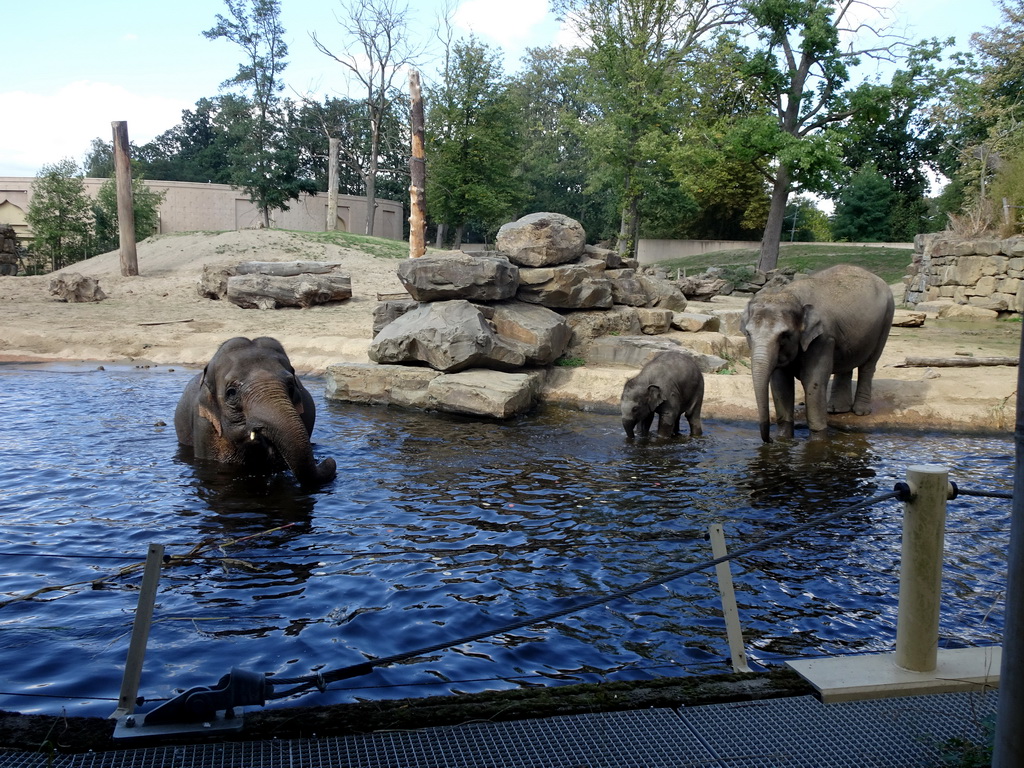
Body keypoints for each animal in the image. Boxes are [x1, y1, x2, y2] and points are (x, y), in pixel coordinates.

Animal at [741, 264, 892, 444]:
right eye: (748, 333)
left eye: (784, 335)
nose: (769, 440)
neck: (791, 295)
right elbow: (780, 382)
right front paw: (784, 438)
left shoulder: (823, 338)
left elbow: (813, 381)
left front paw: (818, 440)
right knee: (846, 365)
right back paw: (836, 409)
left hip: (887, 319)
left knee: (869, 364)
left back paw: (860, 412)